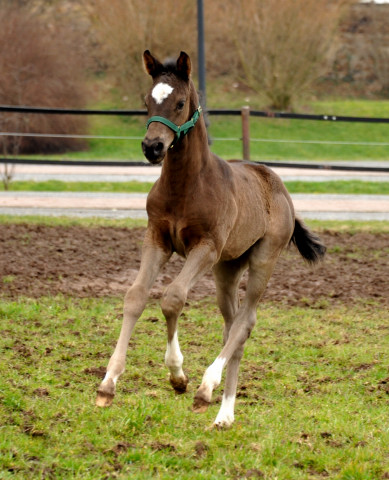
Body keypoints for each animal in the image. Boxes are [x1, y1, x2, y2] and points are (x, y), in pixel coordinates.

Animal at [96, 50, 324, 428]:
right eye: (147, 102)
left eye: (179, 102)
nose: (152, 147)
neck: (185, 185)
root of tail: (279, 185)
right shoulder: (157, 238)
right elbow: (135, 296)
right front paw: (107, 384)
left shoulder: (205, 247)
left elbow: (173, 297)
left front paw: (178, 375)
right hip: (228, 268)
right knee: (232, 325)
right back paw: (225, 413)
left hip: (262, 260)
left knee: (245, 322)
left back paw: (206, 390)